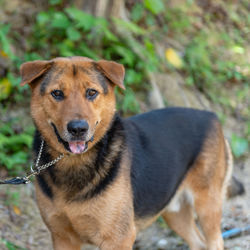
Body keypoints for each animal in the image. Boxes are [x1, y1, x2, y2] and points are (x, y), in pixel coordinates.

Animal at [20, 56, 233, 250]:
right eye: (56, 93)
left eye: (91, 93)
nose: (78, 129)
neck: (73, 163)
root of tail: (210, 115)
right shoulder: (62, 238)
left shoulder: (118, 239)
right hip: (174, 211)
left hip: (207, 206)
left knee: (215, 241)